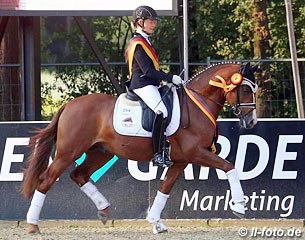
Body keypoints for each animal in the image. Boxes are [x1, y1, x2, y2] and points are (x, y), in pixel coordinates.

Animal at [22, 62, 258, 234]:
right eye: (245, 89)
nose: (251, 122)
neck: (196, 104)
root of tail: (69, 104)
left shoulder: (181, 160)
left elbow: (165, 188)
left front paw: (155, 222)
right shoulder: (196, 153)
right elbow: (229, 167)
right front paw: (239, 206)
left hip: (100, 153)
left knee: (79, 175)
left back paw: (104, 210)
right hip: (68, 152)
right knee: (46, 180)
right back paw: (33, 225)